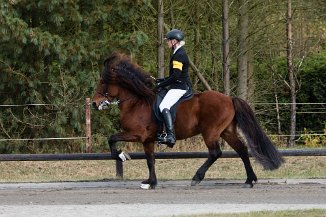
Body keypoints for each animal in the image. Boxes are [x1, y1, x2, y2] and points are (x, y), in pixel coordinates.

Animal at [91, 51, 282, 189]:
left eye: (103, 83)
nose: (94, 103)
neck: (136, 102)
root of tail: (229, 98)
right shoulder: (148, 140)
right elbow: (150, 160)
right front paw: (151, 182)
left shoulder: (136, 134)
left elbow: (112, 139)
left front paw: (122, 155)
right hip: (226, 131)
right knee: (241, 149)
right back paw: (249, 180)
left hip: (210, 132)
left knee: (215, 153)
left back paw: (197, 177)